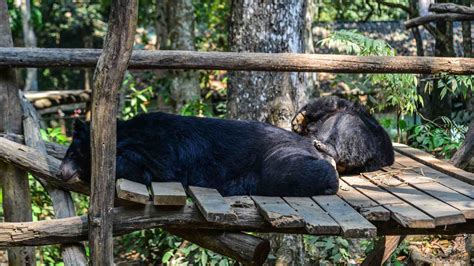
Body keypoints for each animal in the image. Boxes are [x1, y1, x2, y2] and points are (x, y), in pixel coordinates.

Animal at [60, 111, 340, 196]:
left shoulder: (161, 150)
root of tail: (309, 144)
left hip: (276, 160)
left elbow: (144, 168)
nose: (61, 172)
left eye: (72, 152)